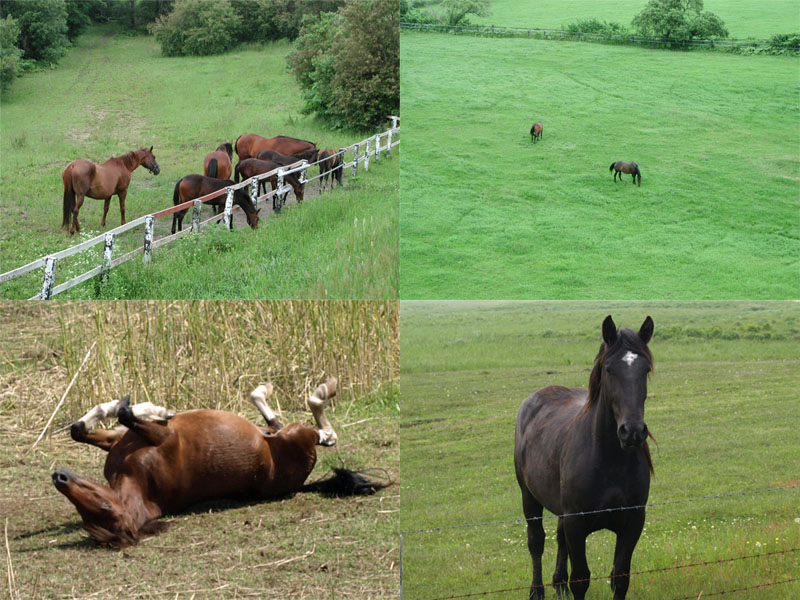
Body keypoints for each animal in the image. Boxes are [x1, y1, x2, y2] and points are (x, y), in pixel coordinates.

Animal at [54, 380, 388, 548]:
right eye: (93, 516)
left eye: (105, 507)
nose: (59, 477)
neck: (141, 483)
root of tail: (302, 484)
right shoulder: (143, 438)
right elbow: (105, 421)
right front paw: (152, 409)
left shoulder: (137, 438)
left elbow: (94, 425)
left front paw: (141, 408)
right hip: (296, 435)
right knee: (319, 429)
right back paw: (310, 391)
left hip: (288, 434)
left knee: (297, 426)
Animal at [516, 314, 652, 600]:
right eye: (609, 369)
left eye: (645, 370)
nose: (633, 431)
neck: (609, 460)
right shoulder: (576, 523)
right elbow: (581, 579)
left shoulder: (633, 522)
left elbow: (620, 577)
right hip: (529, 497)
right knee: (536, 542)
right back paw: (537, 591)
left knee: (558, 539)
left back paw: (559, 584)